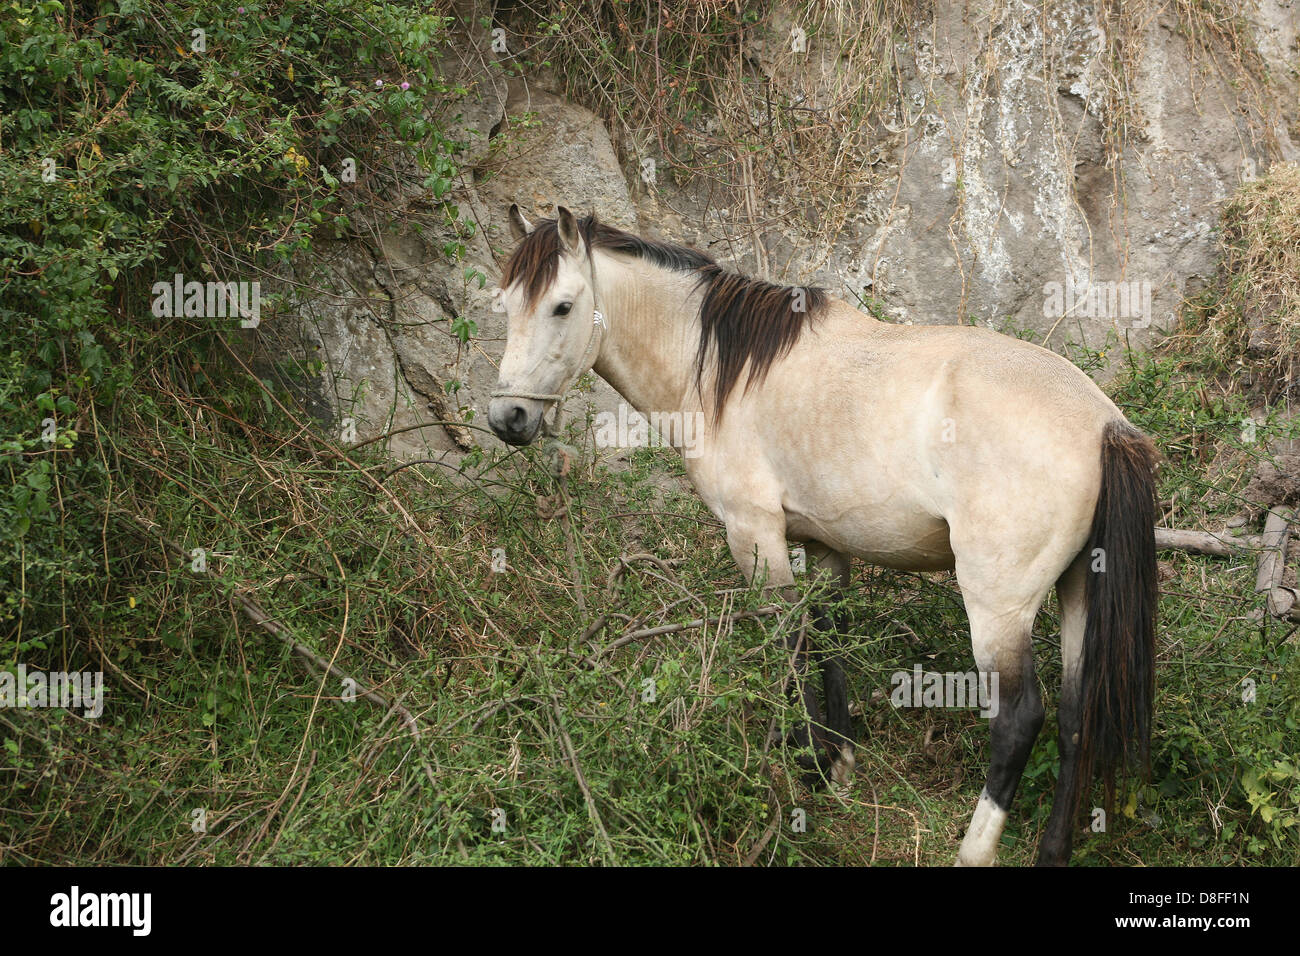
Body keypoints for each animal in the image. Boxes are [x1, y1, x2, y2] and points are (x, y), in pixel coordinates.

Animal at [488, 208, 1159, 868]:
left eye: (562, 306)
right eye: (508, 304)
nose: (507, 418)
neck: (726, 375)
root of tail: (1104, 424)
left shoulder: (754, 535)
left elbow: (789, 644)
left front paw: (806, 767)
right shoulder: (825, 547)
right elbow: (831, 642)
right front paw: (839, 763)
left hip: (998, 607)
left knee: (1020, 720)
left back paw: (974, 848)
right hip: (1079, 588)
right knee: (1076, 716)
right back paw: (1052, 851)